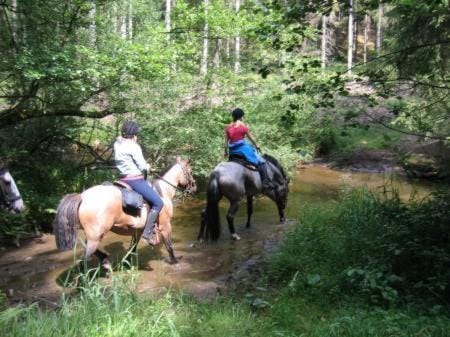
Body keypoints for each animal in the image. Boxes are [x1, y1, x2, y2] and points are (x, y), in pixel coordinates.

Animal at [54, 157, 195, 268]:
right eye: (190, 172)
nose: (194, 188)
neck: (163, 191)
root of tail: (82, 196)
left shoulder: (138, 230)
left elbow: (132, 248)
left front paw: (127, 263)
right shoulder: (165, 225)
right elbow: (169, 246)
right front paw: (175, 262)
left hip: (93, 235)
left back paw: (105, 262)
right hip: (95, 237)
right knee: (83, 260)